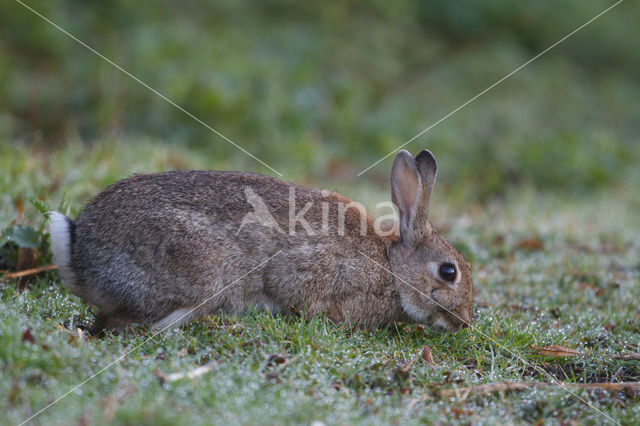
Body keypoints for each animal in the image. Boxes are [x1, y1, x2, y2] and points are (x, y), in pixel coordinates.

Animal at [50, 150, 472, 332]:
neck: (391, 267)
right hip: (199, 271)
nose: (466, 322)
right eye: (448, 272)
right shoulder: (313, 273)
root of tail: (79, 252)